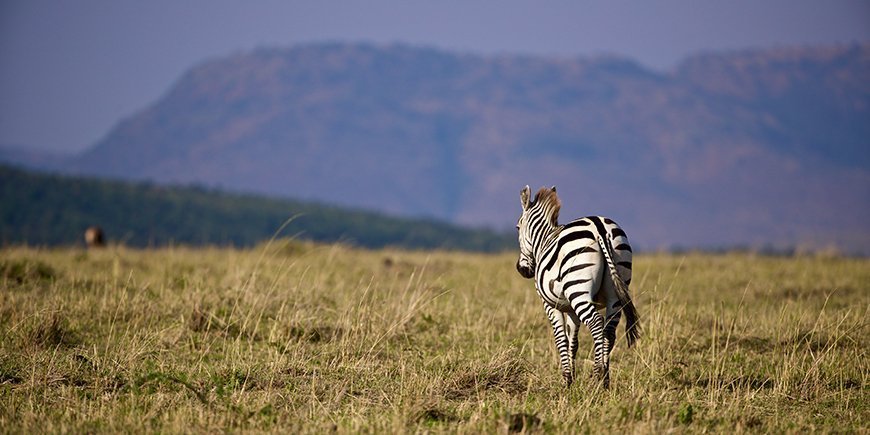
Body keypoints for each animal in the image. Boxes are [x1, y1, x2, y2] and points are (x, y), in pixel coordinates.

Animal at [516, 186, 644, 386]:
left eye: (517, 227)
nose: (522, 270)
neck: (543, 240)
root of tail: (599, 227)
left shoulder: (550, 305)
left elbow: (560, 338)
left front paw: (566, 380)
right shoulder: (569, 308)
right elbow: (572, 341)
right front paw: (572, 378)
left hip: (579, 290)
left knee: (596, 323)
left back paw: (597, 375)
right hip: (615, 289)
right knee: (609, 331)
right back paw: (605, 380)